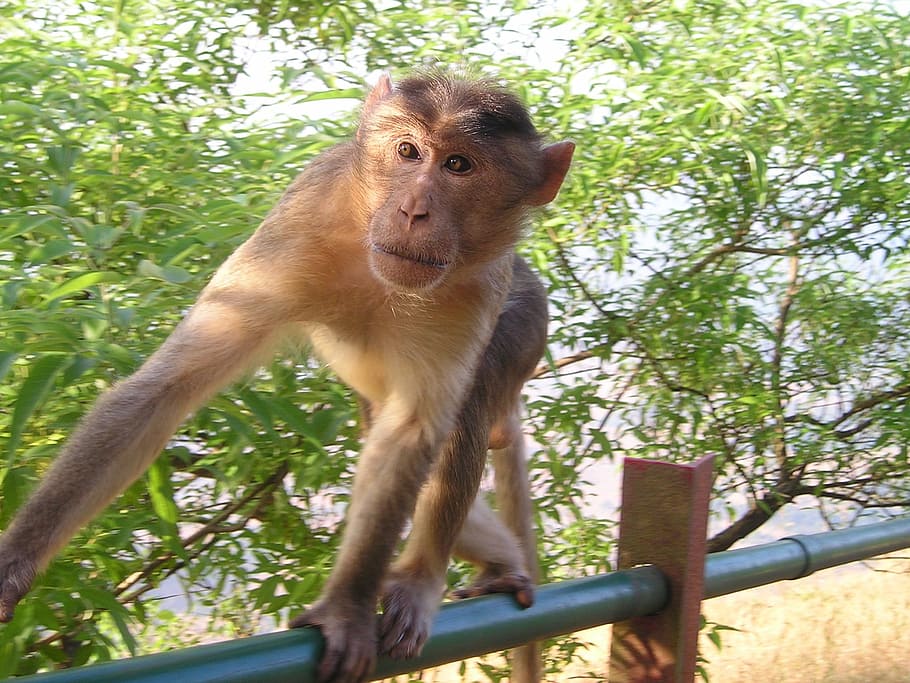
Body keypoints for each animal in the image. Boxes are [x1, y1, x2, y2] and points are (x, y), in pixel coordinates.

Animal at [0, 71, 574, 683]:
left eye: (459, 165)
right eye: (408, 152)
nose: (413, 210)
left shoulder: (479, 288)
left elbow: (414, 430)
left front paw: (347, 606)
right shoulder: (299, 223)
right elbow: (165, 387)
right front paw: (15, 562)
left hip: (523, 322)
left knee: (463, 411)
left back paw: (440, 575)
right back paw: (501, 560)